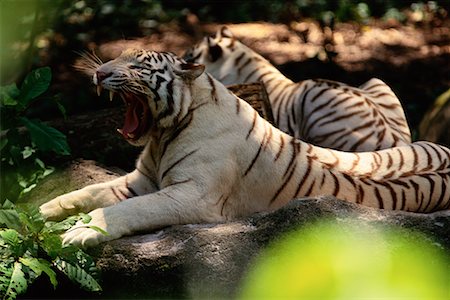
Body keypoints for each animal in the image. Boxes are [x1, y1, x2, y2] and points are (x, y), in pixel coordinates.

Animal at [40, 49, 448, 248]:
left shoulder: (193, 195)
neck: (163, 134)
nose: (100, 72)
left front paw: (81, 232)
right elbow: (89, 191)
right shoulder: (141, 180)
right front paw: (45, 209)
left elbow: (130, 209)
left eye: (137, 65)